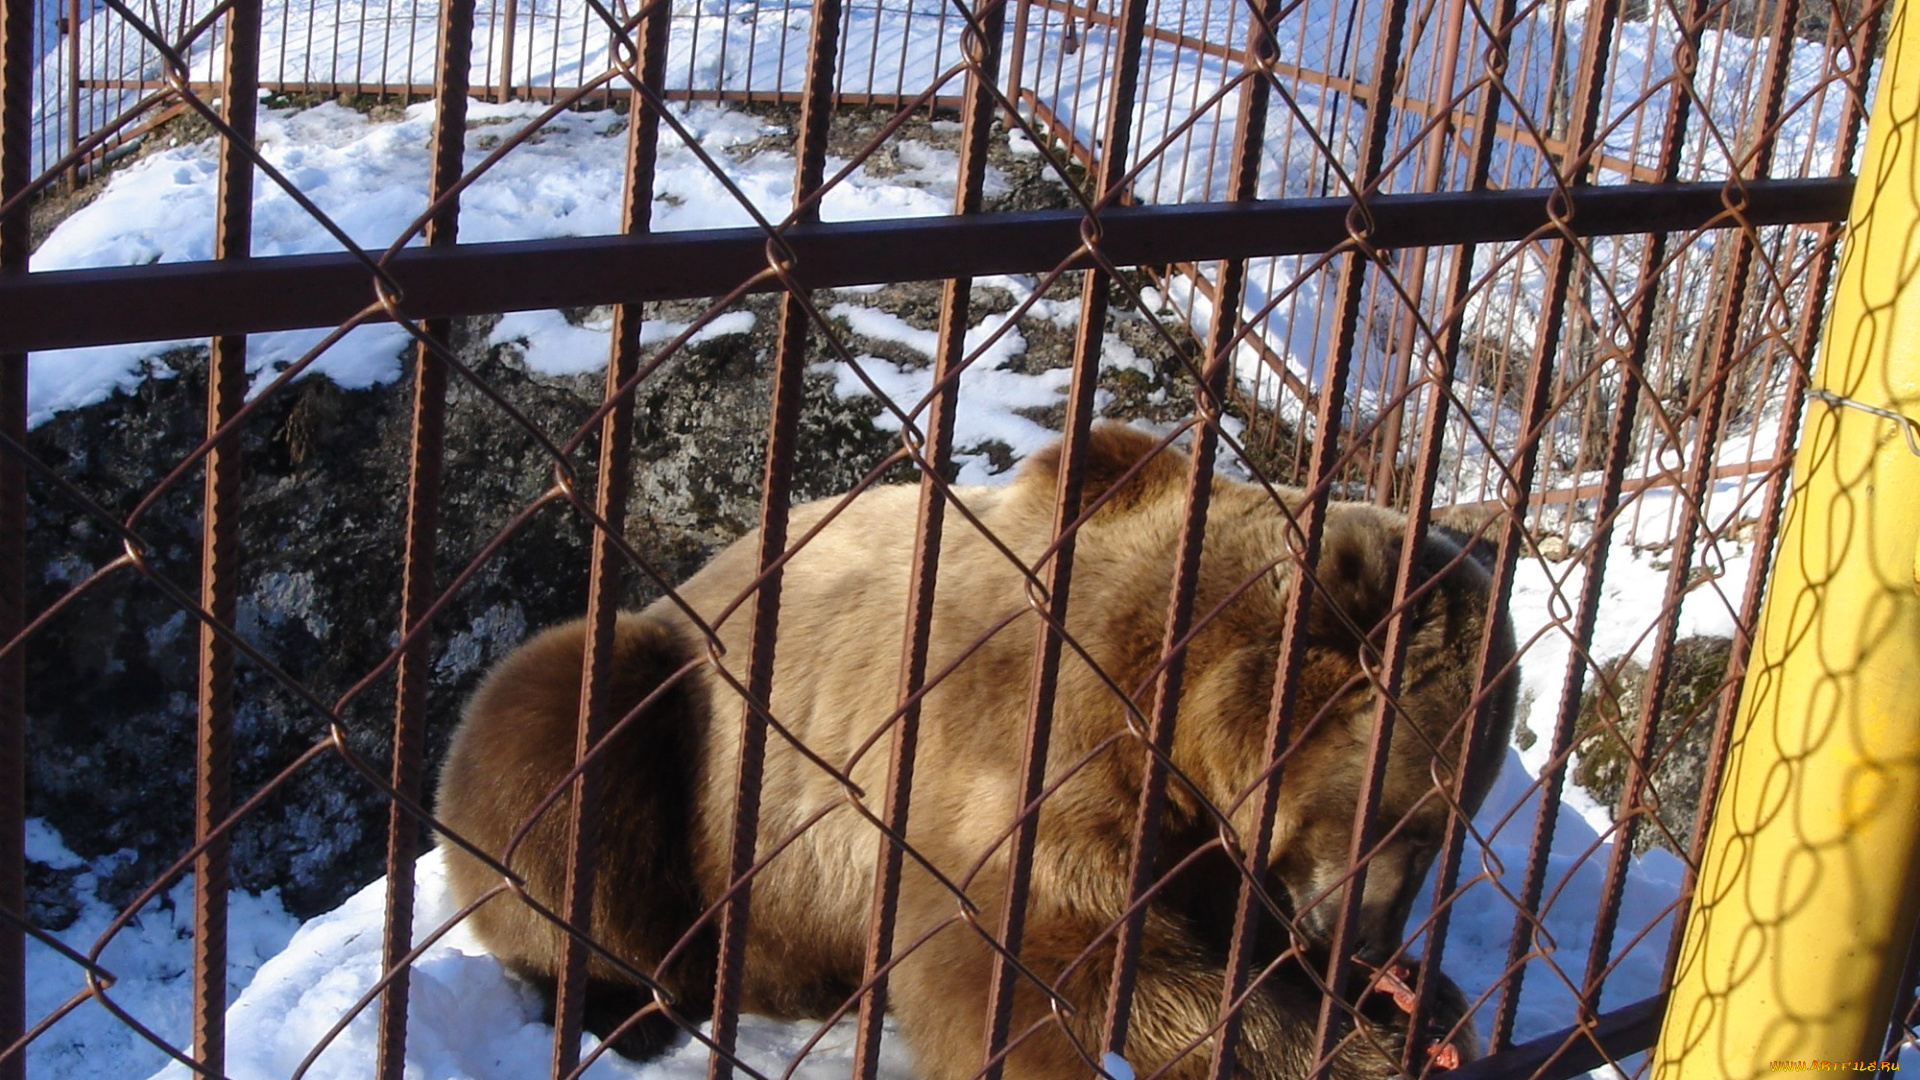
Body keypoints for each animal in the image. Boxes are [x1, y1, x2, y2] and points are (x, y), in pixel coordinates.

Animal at [432, 420, 1512, 1076]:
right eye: (1406, 817)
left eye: (1449, 829)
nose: (1360, 940)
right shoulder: (1036, 738)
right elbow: (1047, 962)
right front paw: (1364, 1044)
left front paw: (1422, 1004)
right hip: (688, 715)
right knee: (555, 720)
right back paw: (628, 1000)